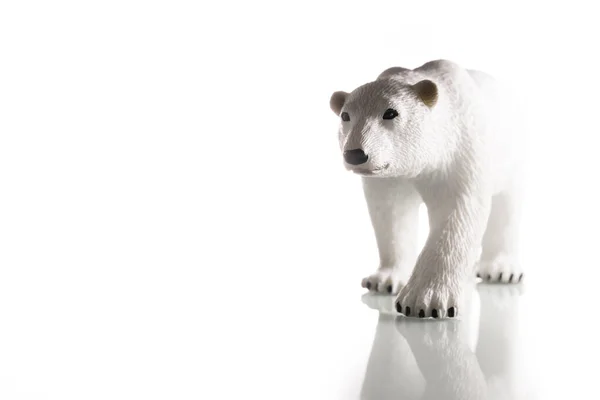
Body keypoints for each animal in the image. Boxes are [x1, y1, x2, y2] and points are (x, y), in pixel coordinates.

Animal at [330, 60, 524, 318]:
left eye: (391, 112)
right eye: (345, 115)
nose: (355, 154)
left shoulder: (460, 151)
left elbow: (456, 213)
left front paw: (425, 302)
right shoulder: (391, 176)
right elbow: (391, 214)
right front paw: (384, 280)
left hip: (509, 157)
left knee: (507, 205)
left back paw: (501, 270)